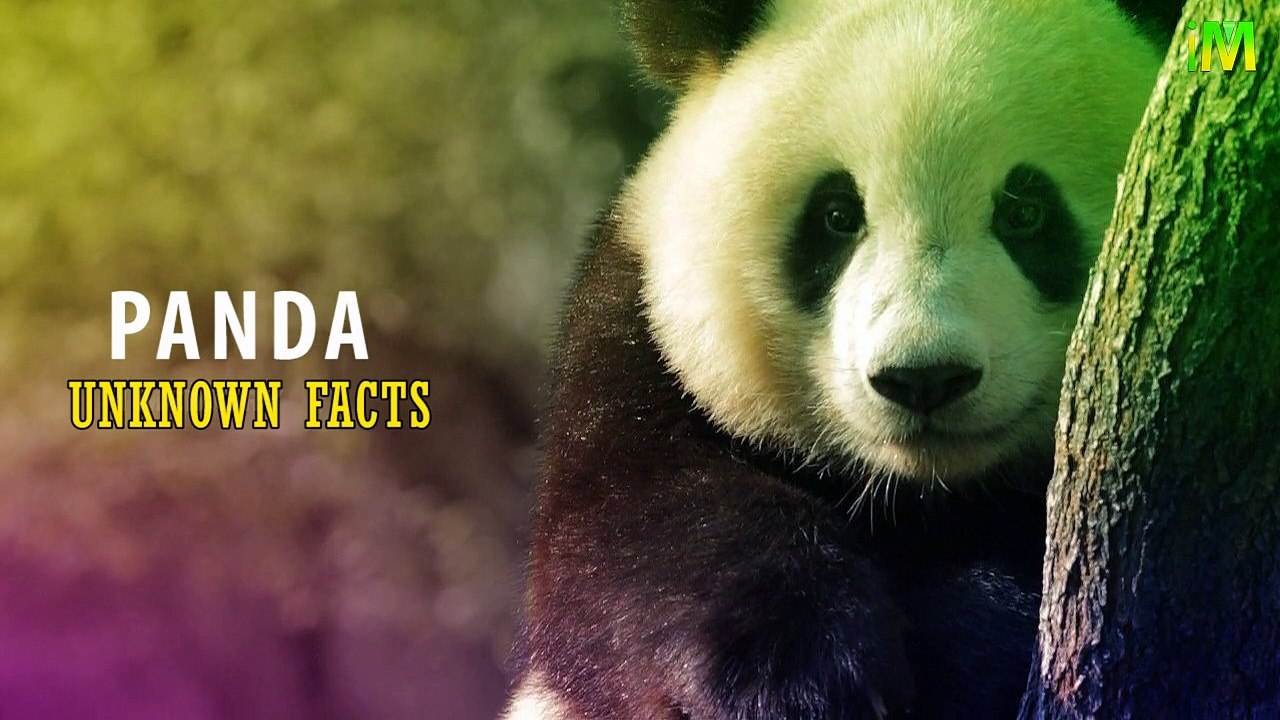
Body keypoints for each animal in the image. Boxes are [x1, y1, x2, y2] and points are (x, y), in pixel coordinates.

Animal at [509, 1, 1177, 718]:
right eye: (836, 215)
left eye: (1025, 212)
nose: (923, 378)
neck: (919, 495)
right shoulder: (640, 348)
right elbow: (635, 531)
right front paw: (798, 677)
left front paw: (960, 649)